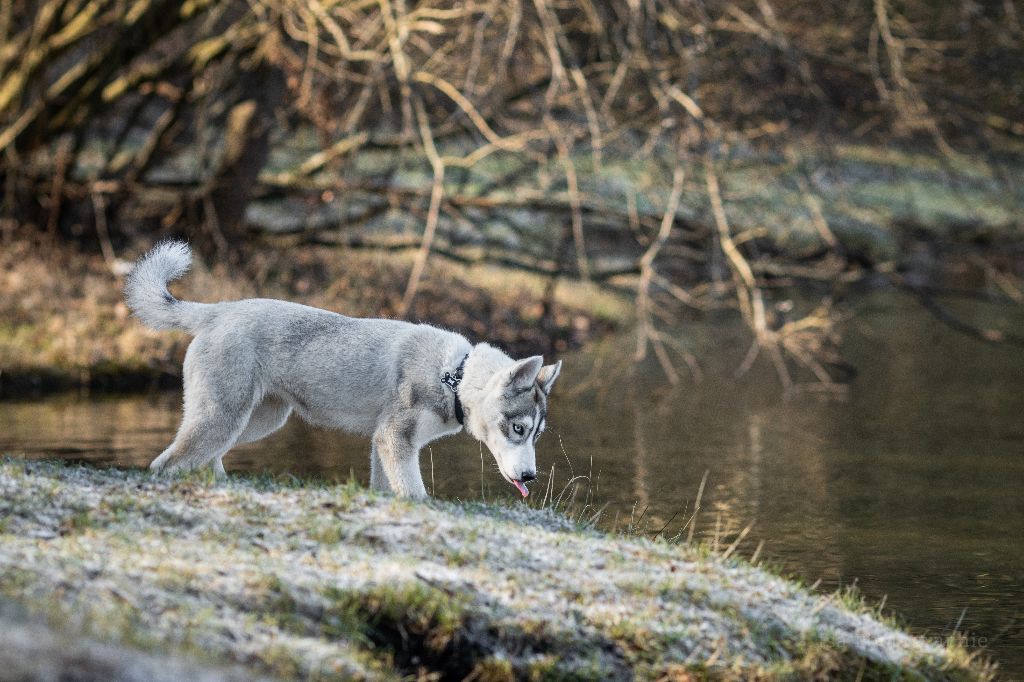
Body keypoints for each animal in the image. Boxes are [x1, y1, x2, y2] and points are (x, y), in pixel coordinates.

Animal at [126, 241, 565, 497]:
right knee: (166, 463)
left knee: (205, 457)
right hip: (224, 418)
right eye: (519, 429)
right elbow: (416, 495)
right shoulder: (394, 441)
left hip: (258, 420)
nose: (531, 477)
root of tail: (219, 310)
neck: (454, 376)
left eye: (536, 435)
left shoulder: (384, 445)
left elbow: (386, 490)